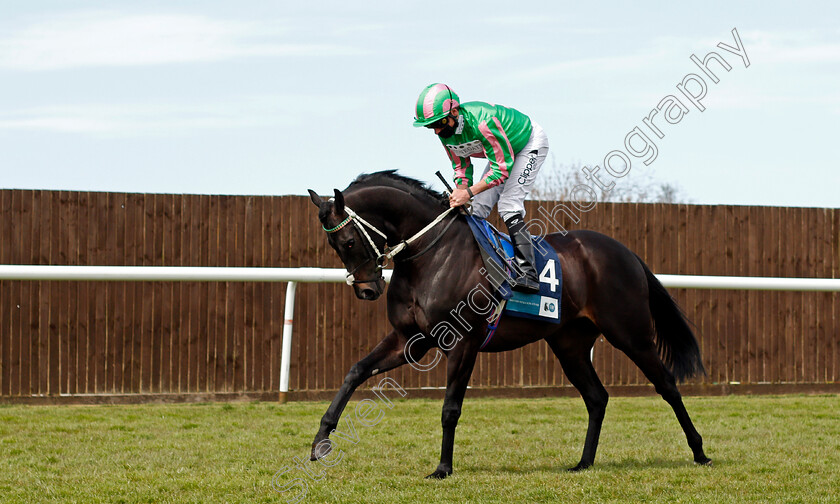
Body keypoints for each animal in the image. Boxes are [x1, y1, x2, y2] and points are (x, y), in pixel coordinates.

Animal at [306, 171, 708, 478]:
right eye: (335, 245)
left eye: (348, 240)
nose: (367, 289)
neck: (432, 256)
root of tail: (627, 252)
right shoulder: (411, 339)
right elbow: (356, 371)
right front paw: (320, 441)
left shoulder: (462, 343)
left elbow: (450, 408)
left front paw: (443, 468)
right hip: (570, 344)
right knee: (597, 397)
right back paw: (584, 462)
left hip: (630, 333)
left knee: (666, 385)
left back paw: (700, 451)